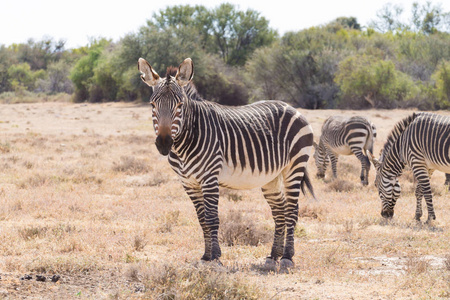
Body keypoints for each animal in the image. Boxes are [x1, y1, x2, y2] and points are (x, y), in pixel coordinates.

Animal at [139, 57, 314, 270]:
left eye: (179, 105)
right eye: (152, 105)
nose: (164, 143)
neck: (185, 142)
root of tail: (291, 107)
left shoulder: (209, 178)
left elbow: (212, 219)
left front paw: (215, 257)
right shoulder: (188, 183)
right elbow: (202, 220)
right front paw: (206, 256)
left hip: (294, 166)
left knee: (291, 211)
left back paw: (287, 257)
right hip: (271, 177)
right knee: (279, 211)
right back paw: (273, 256)